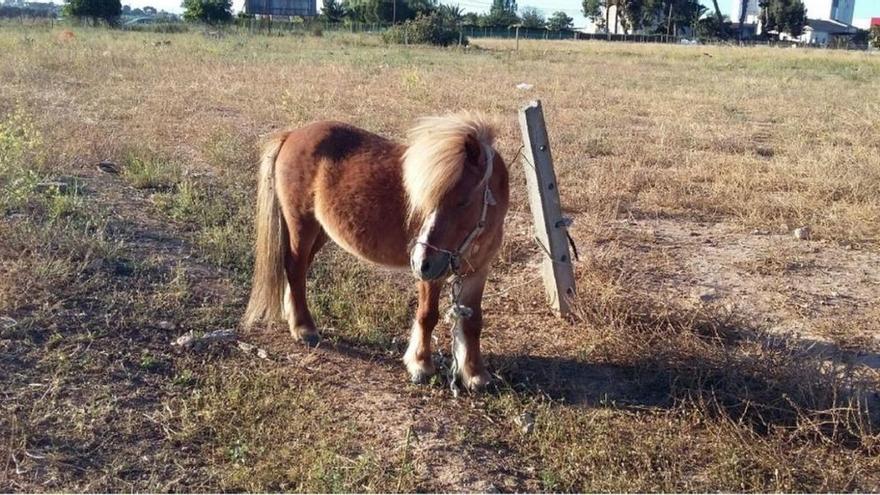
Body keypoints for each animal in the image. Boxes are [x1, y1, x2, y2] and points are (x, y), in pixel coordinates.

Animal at [244, 112, 512, 392]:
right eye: (424, 202)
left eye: (463, 201)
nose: (419, 261)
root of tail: (292, 135)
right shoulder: (432, 276)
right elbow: (428, 316)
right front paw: (421, 365)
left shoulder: (477, 272)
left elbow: (473, 322)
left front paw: (476, 374)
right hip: (302, 225)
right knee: (295, 269)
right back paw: (304, 328)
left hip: (321, 230)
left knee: (300, 271)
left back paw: (293, 316)